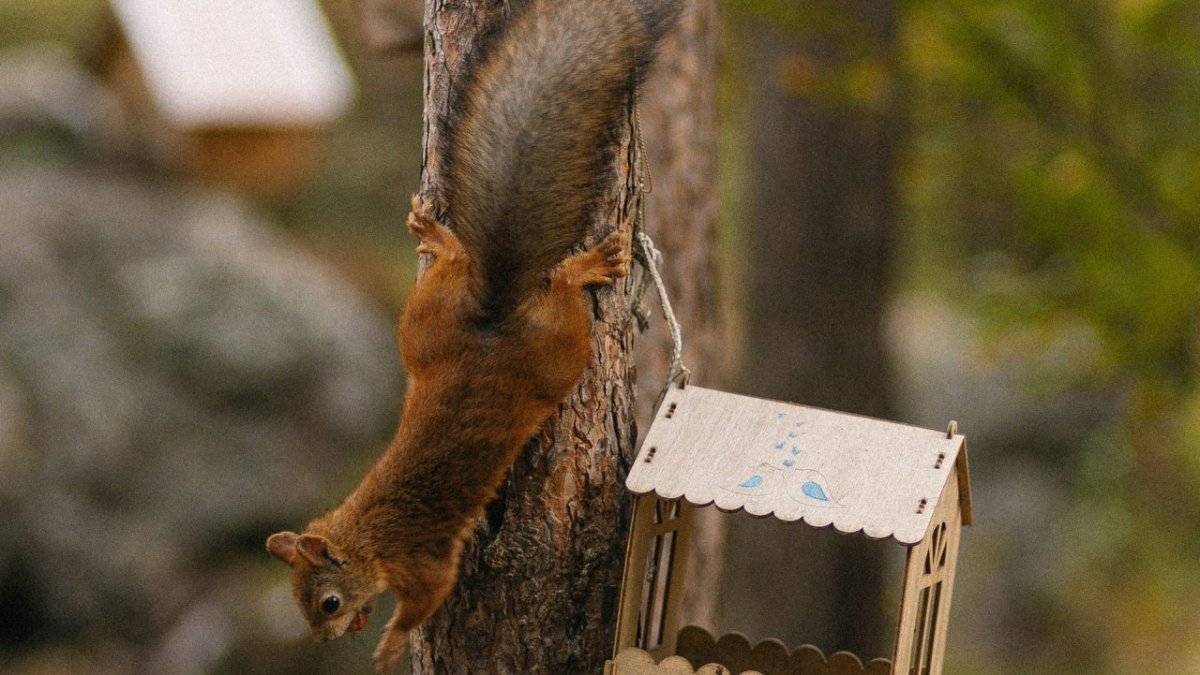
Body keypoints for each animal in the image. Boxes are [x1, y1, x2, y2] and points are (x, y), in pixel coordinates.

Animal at [265, 0, 682, 672]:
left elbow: (427, 597)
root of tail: (493, 316)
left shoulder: (423, 560)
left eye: (327, 601)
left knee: (562, 290)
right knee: (460, 266)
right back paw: (440, 238)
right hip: (428, 327)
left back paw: (587, 265)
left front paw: (391, 642)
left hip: (558, 350)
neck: (368, 534)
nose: (330, 637)